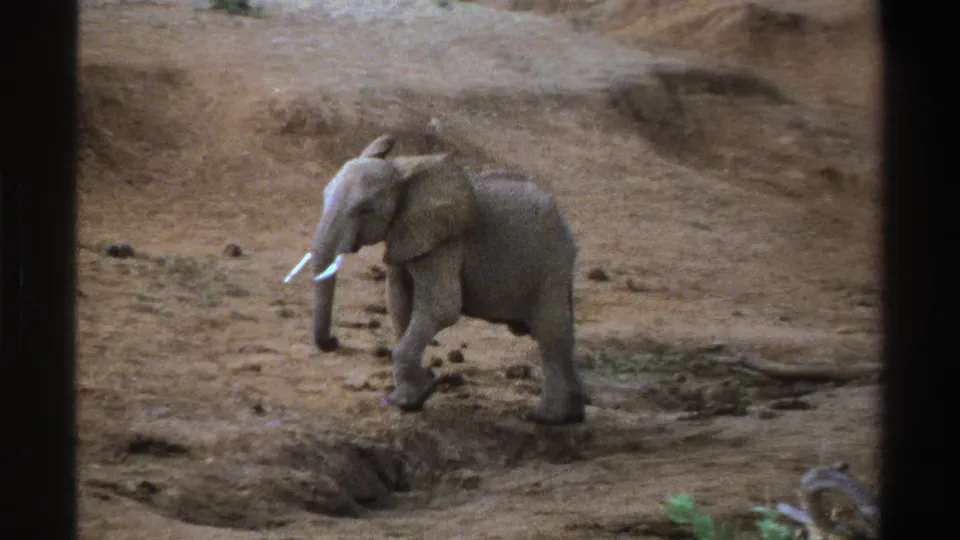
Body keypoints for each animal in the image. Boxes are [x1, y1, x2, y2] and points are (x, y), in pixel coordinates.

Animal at [308, 134, 586, 425]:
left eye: (366, 210)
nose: (333, 342)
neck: (402, 169)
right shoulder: (405, 238)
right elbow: (399, 304)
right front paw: (416, 393)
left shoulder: (445, 241)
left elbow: (441, 308)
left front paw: (409, 400)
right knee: (563, 330)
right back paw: (573, 415)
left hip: (550, 262)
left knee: (549, 332)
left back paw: (545, 417)